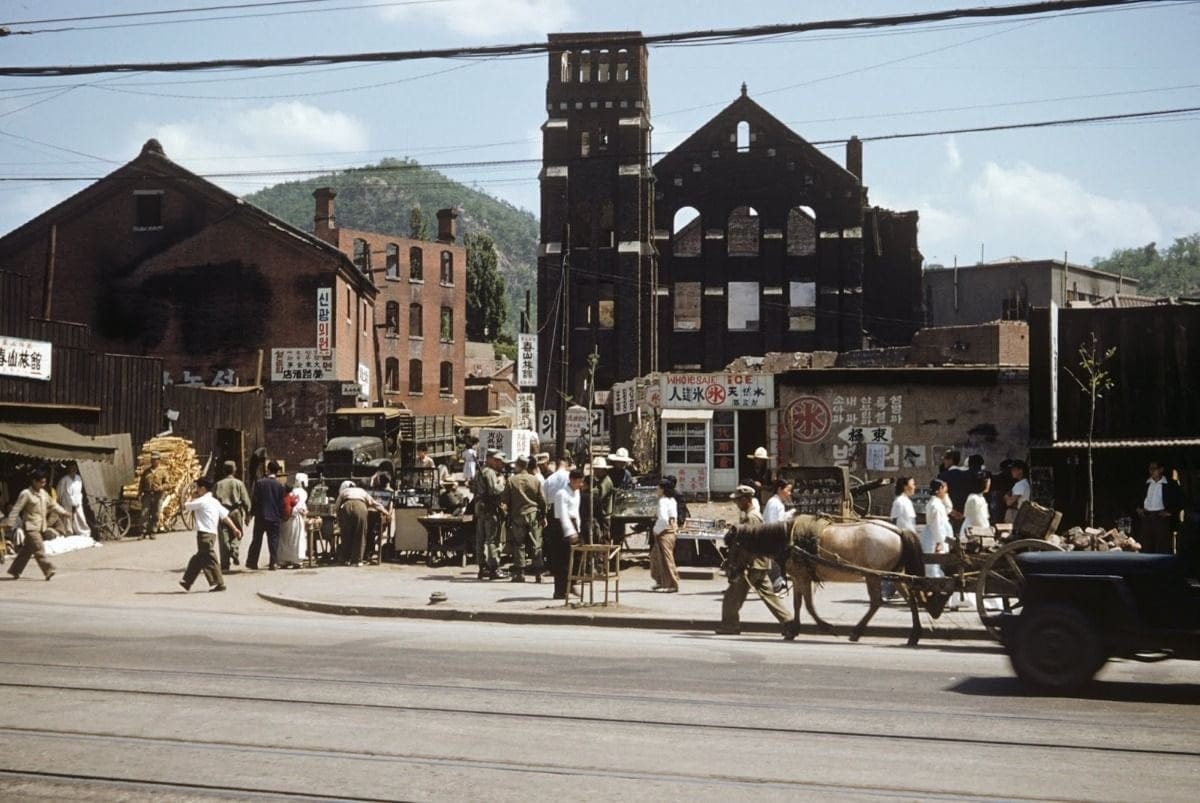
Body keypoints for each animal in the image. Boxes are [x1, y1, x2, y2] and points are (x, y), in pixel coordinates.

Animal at [724, 513, 940, 643]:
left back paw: (856, 631)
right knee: (910, 598)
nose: (729, 571)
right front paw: (793, 629)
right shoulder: (799, 577)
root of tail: (898, 531)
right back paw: (914, 634)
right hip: (894, 574)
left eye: (732, 547)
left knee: (877, 601)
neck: (789, 540)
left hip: (874, 576)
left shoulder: (803, 576)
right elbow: (798, 604)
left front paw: (826, 627)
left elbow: (808, 606)